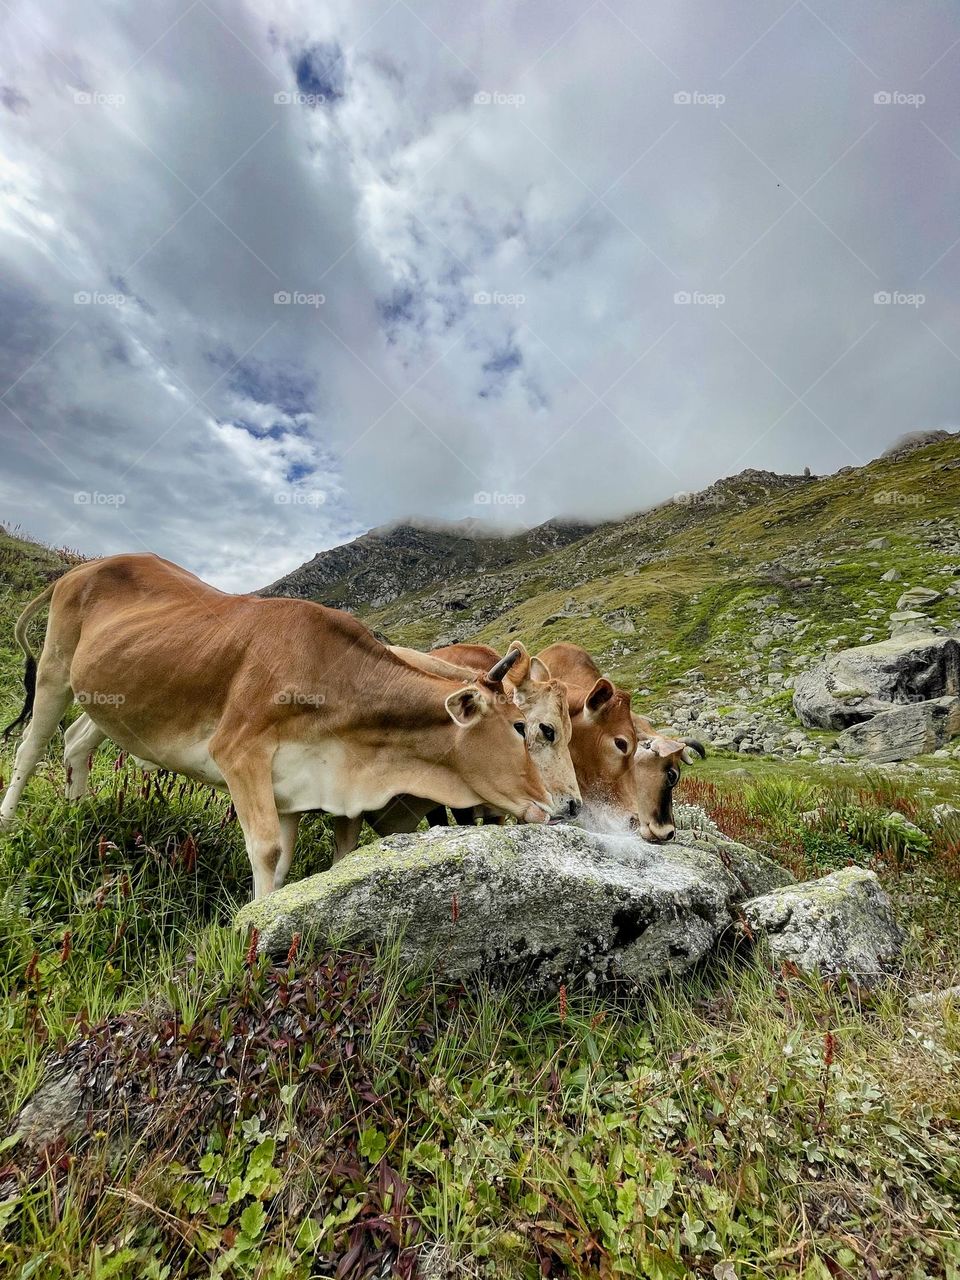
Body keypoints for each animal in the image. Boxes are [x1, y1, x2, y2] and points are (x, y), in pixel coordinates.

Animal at [0, 554, 559, 898]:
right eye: (519, 727)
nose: (554, 808)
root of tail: (85, 567)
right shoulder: (239, 752)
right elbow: (266, 850)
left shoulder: (294, 784)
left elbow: (286, 858)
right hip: (54, 670)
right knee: (30, 747)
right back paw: (8, 822)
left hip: (108, 699)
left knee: (76, 742)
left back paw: (80, 816)